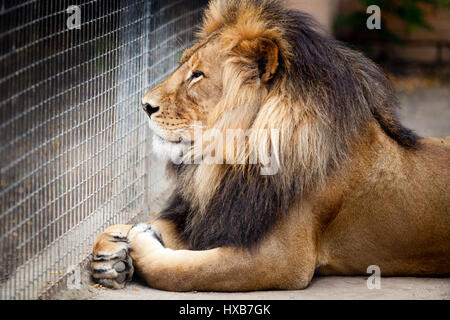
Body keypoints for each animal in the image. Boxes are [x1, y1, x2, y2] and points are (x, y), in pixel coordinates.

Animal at [90, 0, 450, 290]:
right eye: (183, 65)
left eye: (197, 75)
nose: (144, 105)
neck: (234, 157)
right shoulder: (221, 214)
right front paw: (110, 249)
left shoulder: (281, 260)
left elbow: (179, 272)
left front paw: (137, 240)